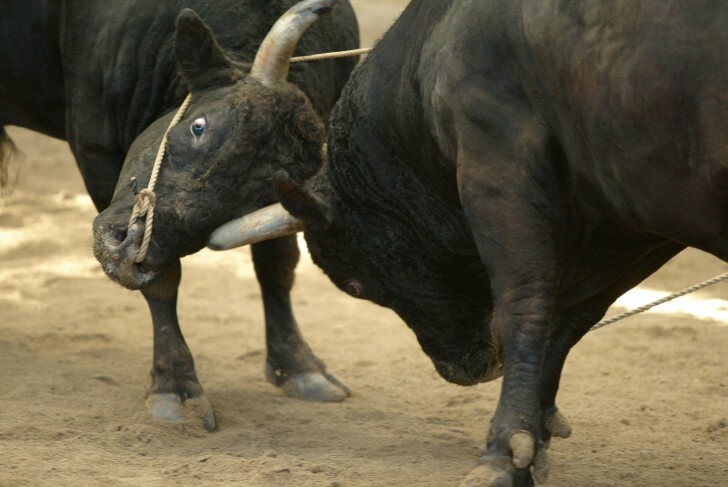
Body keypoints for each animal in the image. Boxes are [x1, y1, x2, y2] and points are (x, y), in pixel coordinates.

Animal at [0, 0, 358, 430]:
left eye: (259, 195)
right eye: (199, 126)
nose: (127, 249)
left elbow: (278, 265)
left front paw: (299, 367)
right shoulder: (97, 149)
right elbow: (163, 282)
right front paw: (175, 388)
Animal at [212, 0, 728, 487]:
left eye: (357, 284)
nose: (466, 369)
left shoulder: (497, 162)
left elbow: (527, 303)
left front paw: (503, 451)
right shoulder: (633, 217)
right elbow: (571, 313)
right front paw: (533, 438)